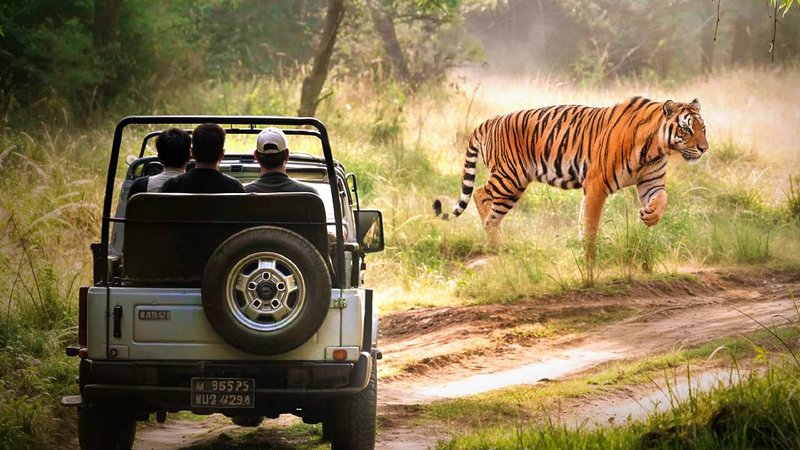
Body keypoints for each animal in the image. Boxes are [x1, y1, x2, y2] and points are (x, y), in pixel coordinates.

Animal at [433, 96, 709, 260]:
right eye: (686, 128)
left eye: (702, 128)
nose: (704, 148)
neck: (656, 147)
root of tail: (489, 121)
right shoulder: (597, 183)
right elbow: (590, 222)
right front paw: (589, 256)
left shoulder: (651, 183)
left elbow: (662, 199)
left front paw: (650, 216)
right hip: (510, 178)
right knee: (481, 194)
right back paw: (493, 245)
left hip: (510, 180)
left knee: (486, 200)